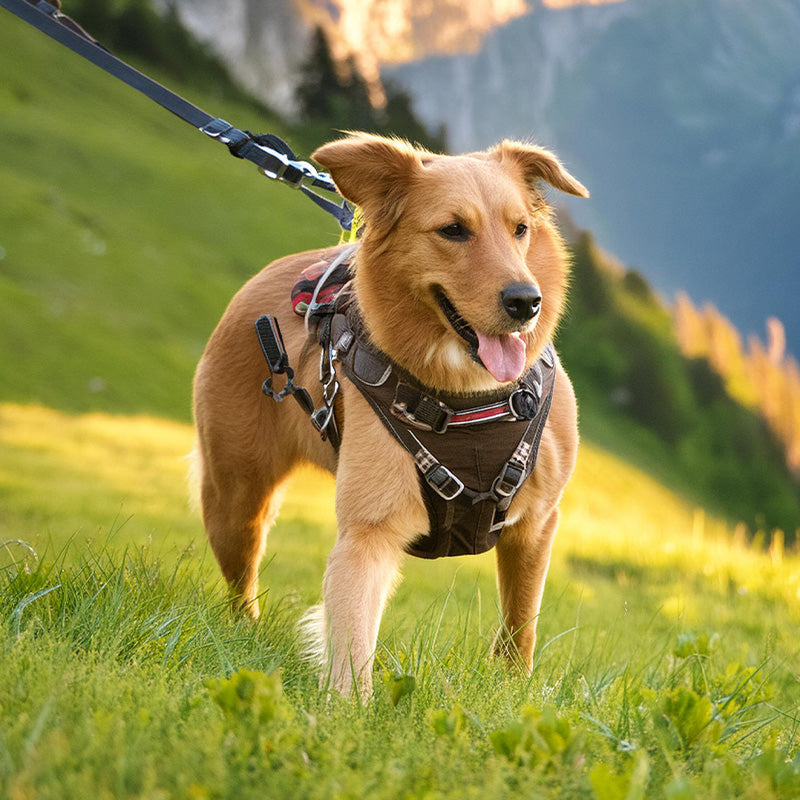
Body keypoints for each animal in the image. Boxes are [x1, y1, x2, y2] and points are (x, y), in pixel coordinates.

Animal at [194, 134, 588, 696]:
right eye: (453, 230)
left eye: (520, 229)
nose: (525, 301)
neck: (468, 400)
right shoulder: (368, 532)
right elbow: (352, 642)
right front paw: (347, 709)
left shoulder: (536, 523)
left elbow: (521, 623)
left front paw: (512, 688)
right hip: (235, 501)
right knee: (240, 585)